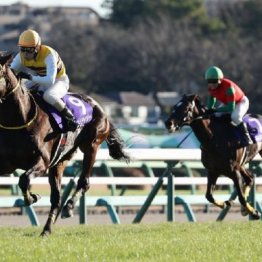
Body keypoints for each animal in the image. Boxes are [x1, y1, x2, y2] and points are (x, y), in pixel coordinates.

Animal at [0, 52, 130, 234]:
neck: (19, 120)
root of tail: (97, 105)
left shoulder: (42, 162)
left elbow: (24, 180)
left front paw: (33, 197)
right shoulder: (5, 164)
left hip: (91, 146)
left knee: (83, 182)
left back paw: (68, 207)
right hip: (60, 160)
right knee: (56, 198)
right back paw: (47, 229)